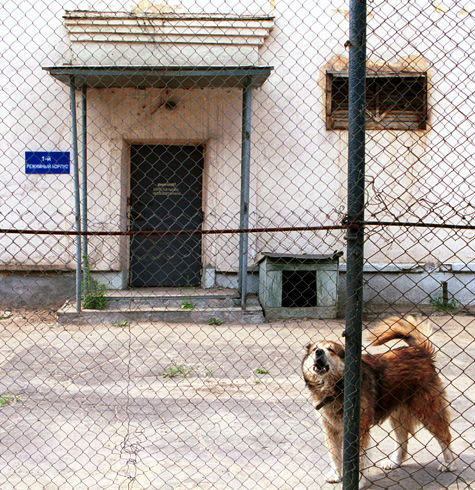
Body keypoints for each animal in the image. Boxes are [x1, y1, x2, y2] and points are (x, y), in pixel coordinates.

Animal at [302, 316, 458, 484]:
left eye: (331, 350)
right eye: (314, 349)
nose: (318, 352)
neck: (337, 386)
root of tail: (420, 352)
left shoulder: (360, 428)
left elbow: (360, 459)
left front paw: (359, 481)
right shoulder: (330, 428)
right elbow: (335, 455)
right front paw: (336, 475)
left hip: (427, 410)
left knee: (445, 436)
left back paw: (449, 464)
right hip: (398, 415)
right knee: (402, 440)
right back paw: (395, 462)